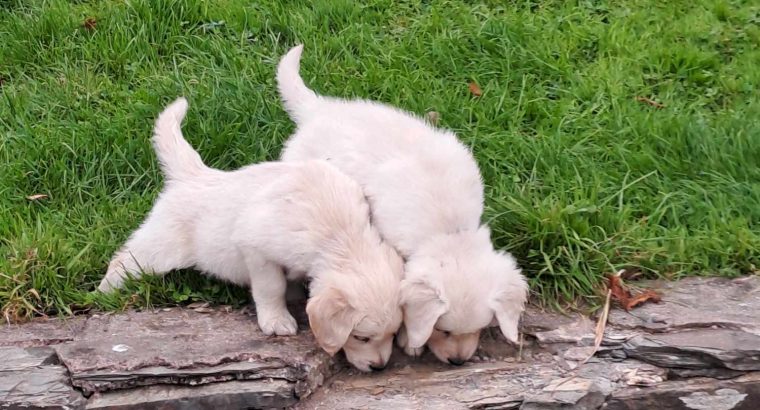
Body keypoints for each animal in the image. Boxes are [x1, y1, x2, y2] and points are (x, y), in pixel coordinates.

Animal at [98, 97, 406, 372]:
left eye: (393, 333)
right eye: (361, 337)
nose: (379, 367)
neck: (340, 234)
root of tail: (193, 175)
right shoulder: (257, 249)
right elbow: (271, 287)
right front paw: (277, 320)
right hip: (162, 245)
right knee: (124, 260)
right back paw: (105, 291)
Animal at [274, 45, 528, 366]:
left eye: (480, 328)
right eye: (442, 330)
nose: (458, 362)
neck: (449, 230)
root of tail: (318, 109)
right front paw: (411, 341)